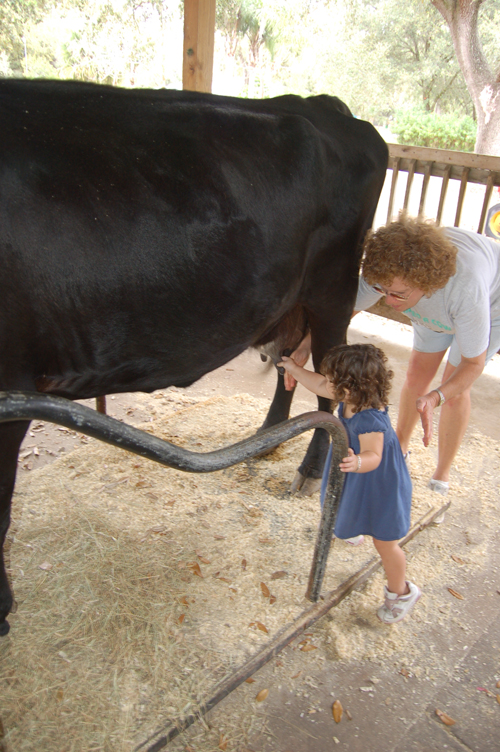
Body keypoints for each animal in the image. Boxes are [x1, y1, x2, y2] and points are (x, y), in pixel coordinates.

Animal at [0, 81, 388, 636]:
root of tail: (322, 104)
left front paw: (2, 609)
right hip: (288, 298)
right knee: (290, 366)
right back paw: (266, 437)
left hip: (332, 290)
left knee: (331, 384)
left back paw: (312, 469)